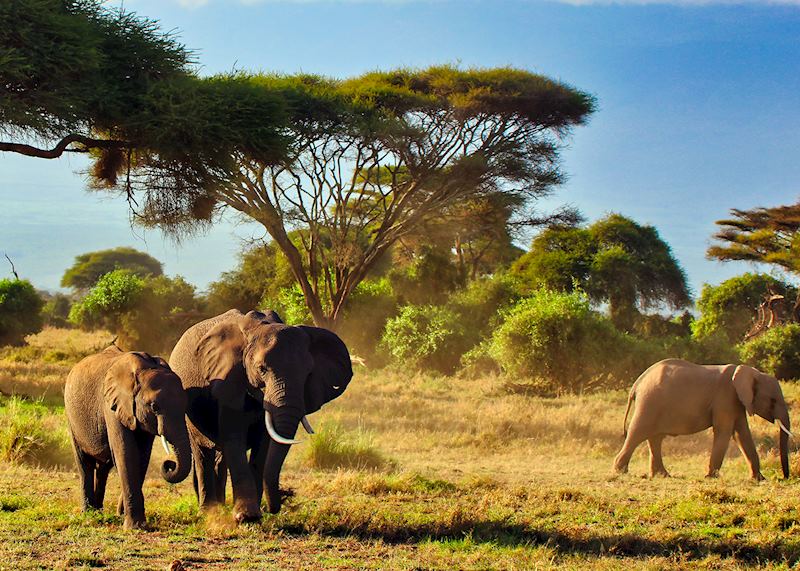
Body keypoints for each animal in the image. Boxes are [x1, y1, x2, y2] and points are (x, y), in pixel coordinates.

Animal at [64, 346, 191, 529]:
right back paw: (89, 514)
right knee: (85, 464)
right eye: (154, 407)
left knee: (103, 468)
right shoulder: (112, 406)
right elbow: (126, 453)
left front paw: (124, 515)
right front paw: (134, 527)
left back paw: (99, 512)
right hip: (72, 420)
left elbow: (142, 457)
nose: (169, 464)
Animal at [168, 309, 352, 522]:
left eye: (308, 373)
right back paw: (208, 511)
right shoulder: (227, 379)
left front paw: (255, 515)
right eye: (261, 369)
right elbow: (234, 438)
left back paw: (220, 506)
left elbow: (263, 445)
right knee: (202, 452)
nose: (284, 496)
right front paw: (246, 516)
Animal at [613, 359, 792, 480]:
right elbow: (724, 431)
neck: (751, 372)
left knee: (655, 438)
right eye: (773, 401)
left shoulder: (737, 402)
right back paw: (620, 471)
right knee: (637, 433)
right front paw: (711, 477)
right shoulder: (725, 397)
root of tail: (637, 384)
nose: (784, 477)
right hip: (649, 402)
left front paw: (759, 479)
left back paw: (662, 475)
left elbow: (742, 433)